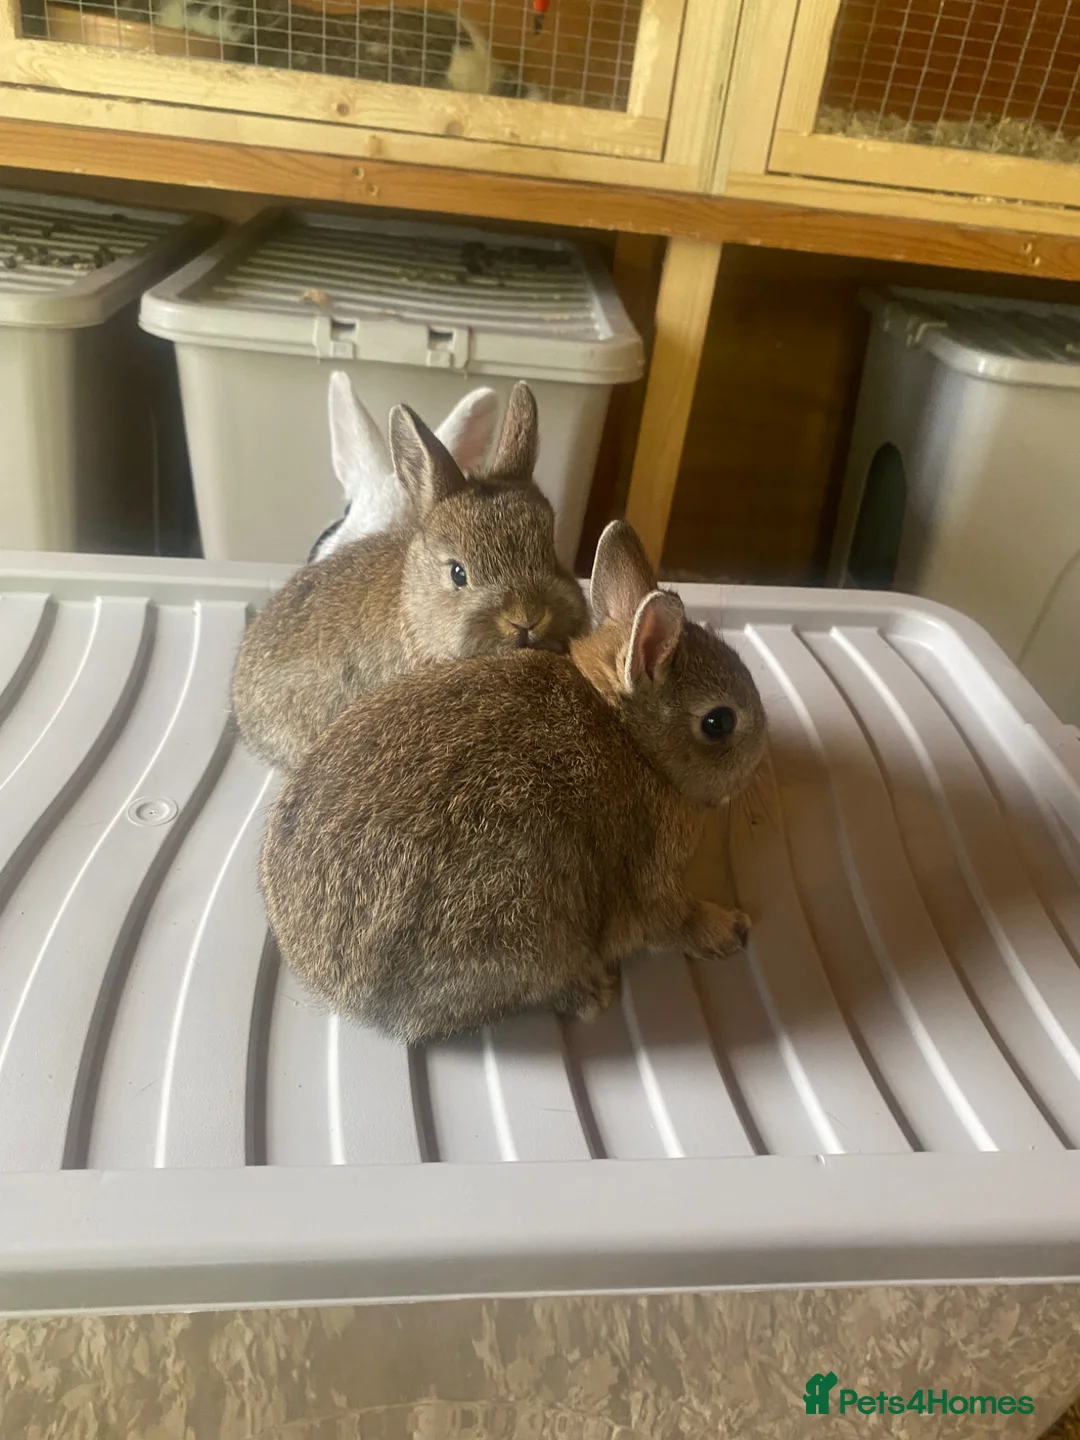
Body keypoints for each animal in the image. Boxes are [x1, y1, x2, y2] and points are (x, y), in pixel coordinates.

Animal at [260, 519, 768, 1045]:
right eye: (718, 723)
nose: (760, 756)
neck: (632, 738)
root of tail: (342, 990)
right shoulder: (650, 876)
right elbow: (674, 920)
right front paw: (728, 929)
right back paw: (592, 993)